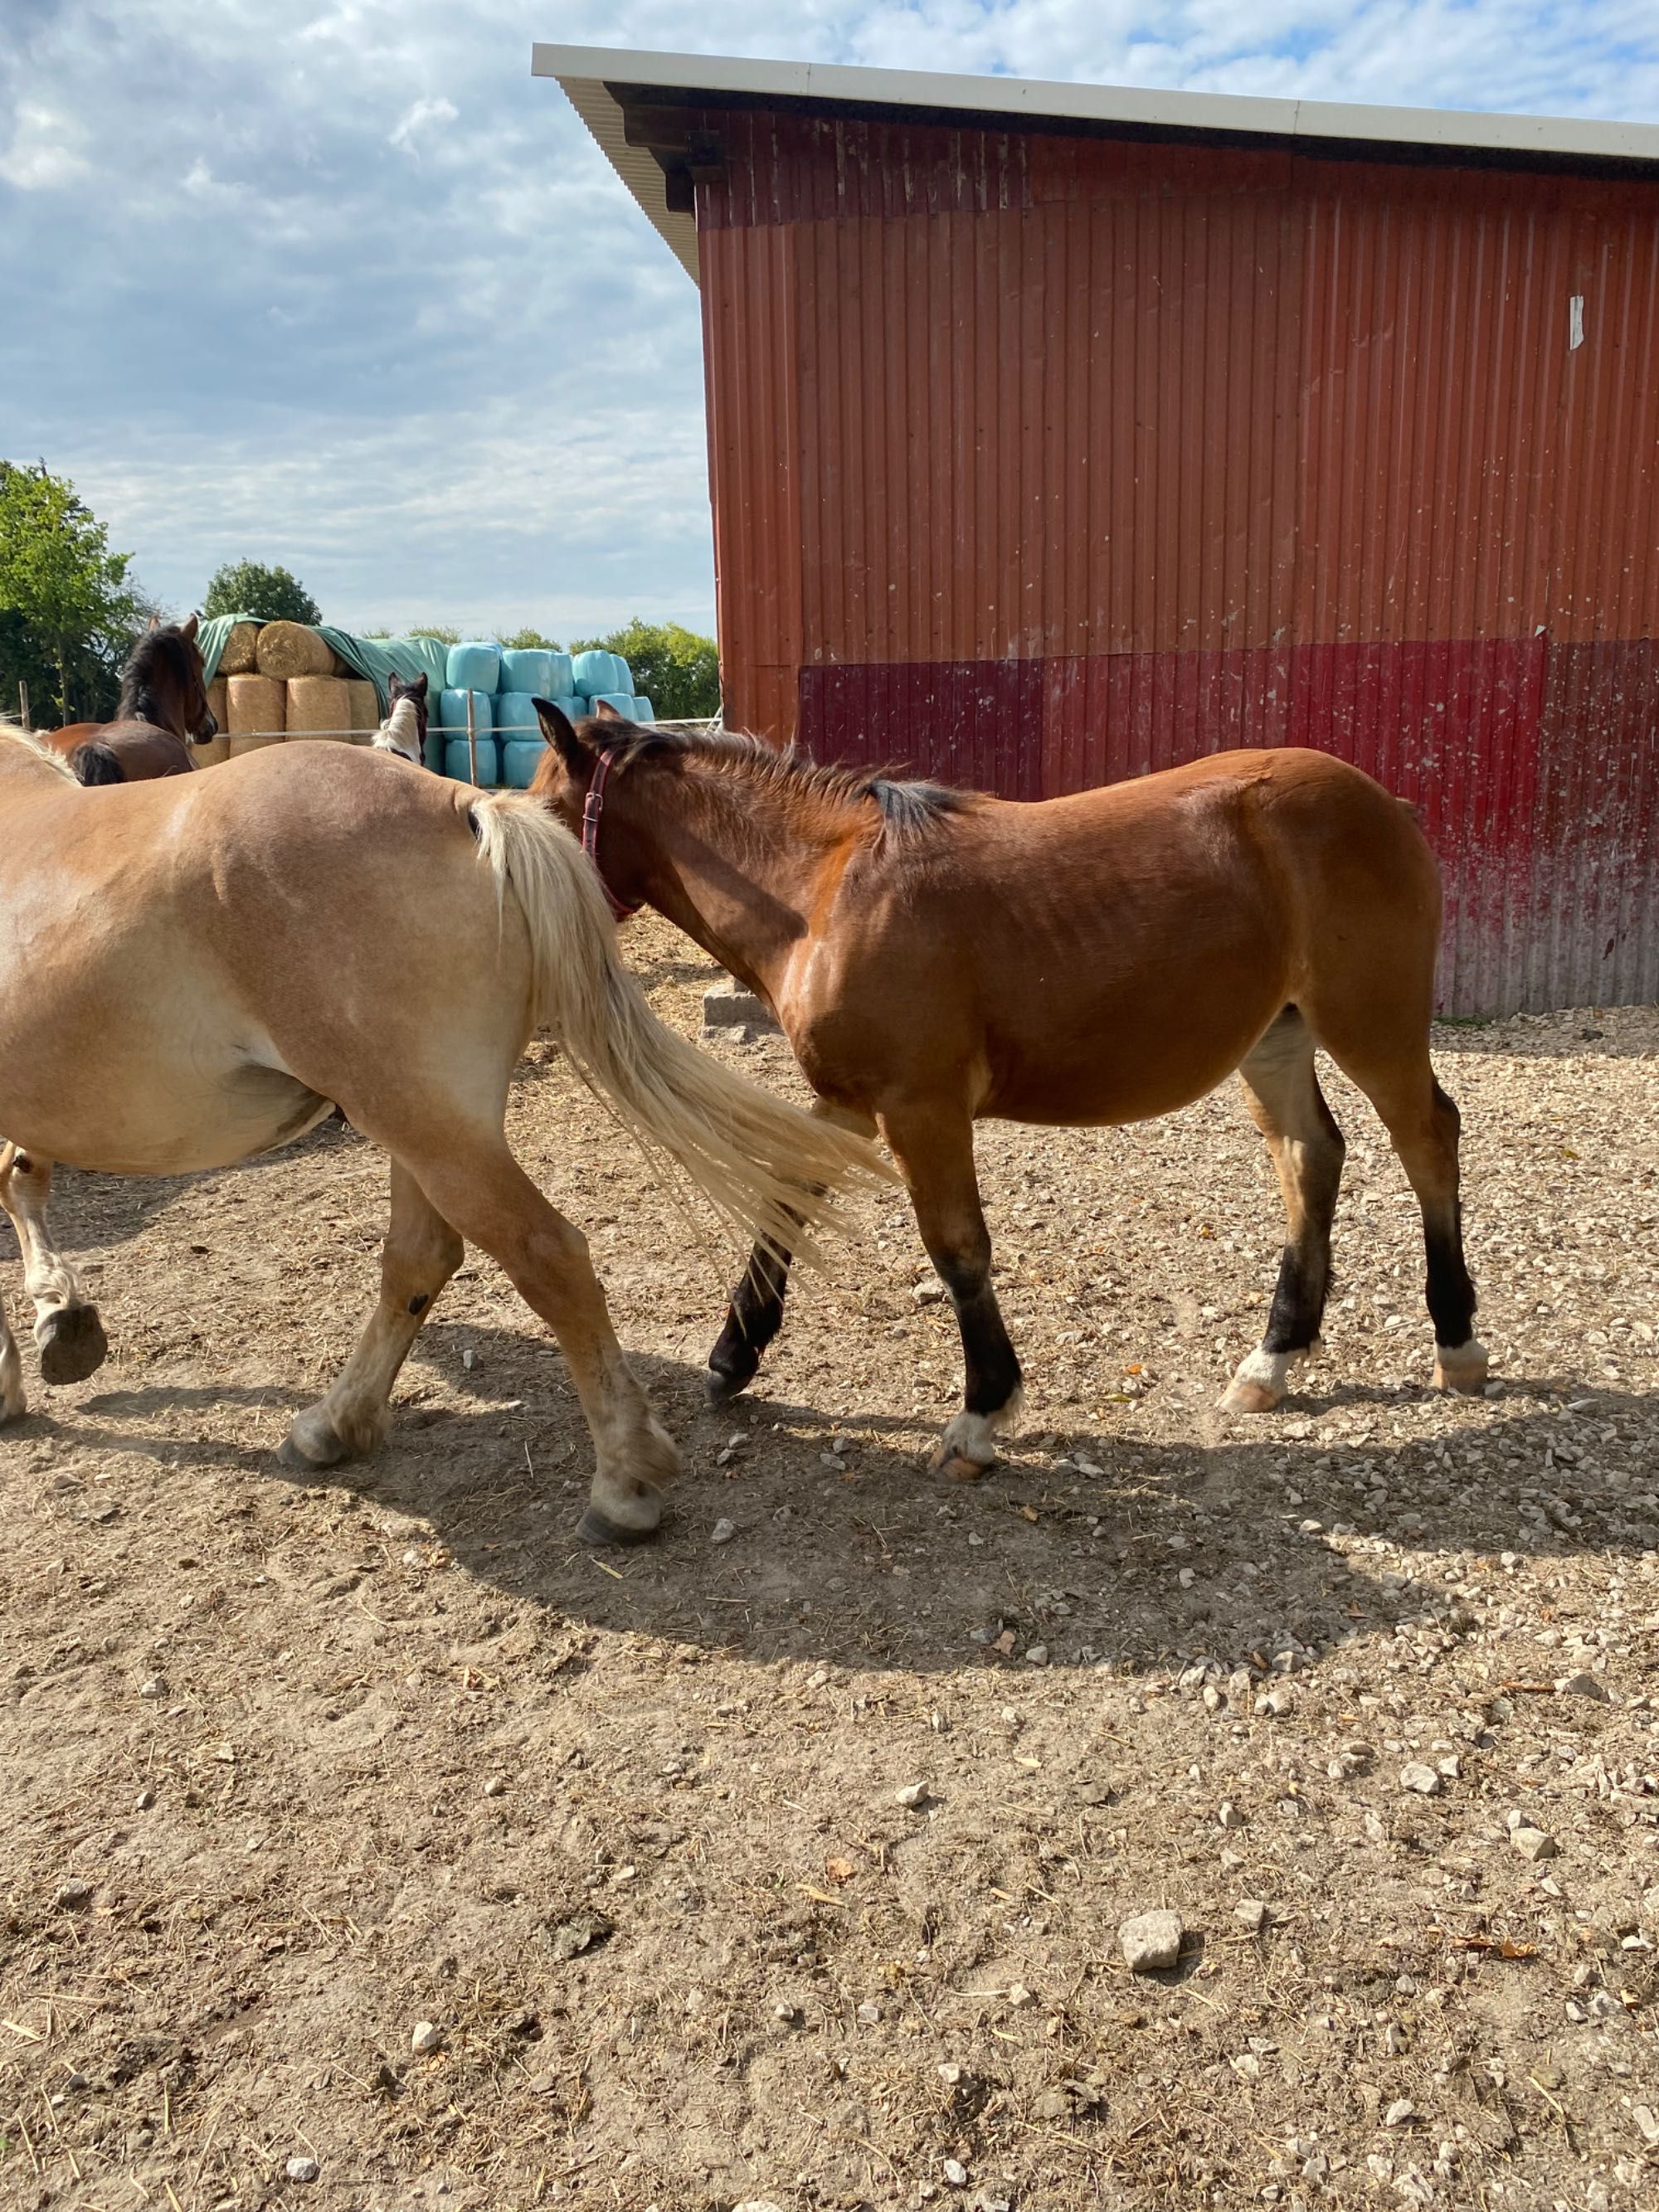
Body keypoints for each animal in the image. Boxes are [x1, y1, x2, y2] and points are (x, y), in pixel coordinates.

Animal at [0, 725, 889, 1539]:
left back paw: (622, 1482)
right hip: (424, 1125)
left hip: (430, 1130)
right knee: (420, 1260)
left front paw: (26, 1357)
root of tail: (465, 807)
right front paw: (57, 1323)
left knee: (548, 1256)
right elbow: (22, 1179)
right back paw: (333, 1425)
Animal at [533, 698, 1495, 1477]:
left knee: (1426, 1138)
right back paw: (1272, 1360)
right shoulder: (848, 1100)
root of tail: (1382, 803)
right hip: (1277, 1037)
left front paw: (981, 1412)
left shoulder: (920, 1109)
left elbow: (958, 1248)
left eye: (540, 812)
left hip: (1369, 1025)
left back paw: (1456, 1343)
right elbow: (784, 1201)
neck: (827, 890)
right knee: (1309, 1157)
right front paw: (734, 1355)